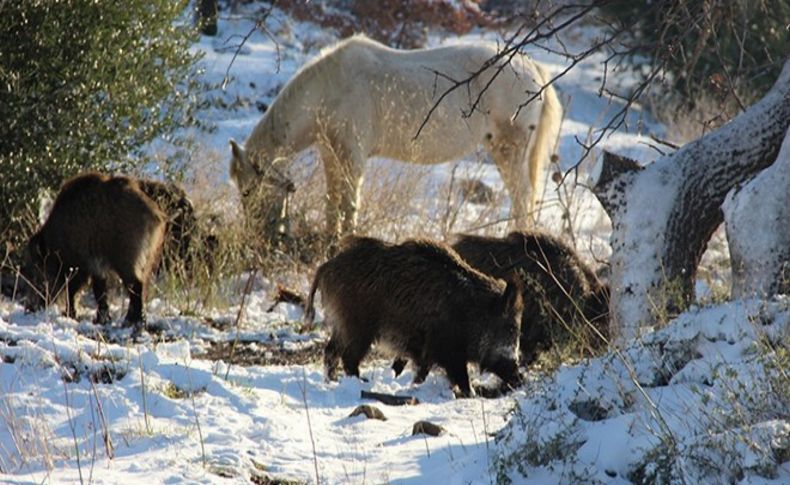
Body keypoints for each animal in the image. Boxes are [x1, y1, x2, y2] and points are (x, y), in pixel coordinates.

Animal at [229, 34, 564, 234]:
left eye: (247, 191)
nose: (255, 234)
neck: (329, 90)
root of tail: (534, 68)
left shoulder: (352, 157)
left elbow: (349, 204)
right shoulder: (331, 155)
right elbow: (332, 202)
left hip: (509, 151)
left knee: (522, 198)